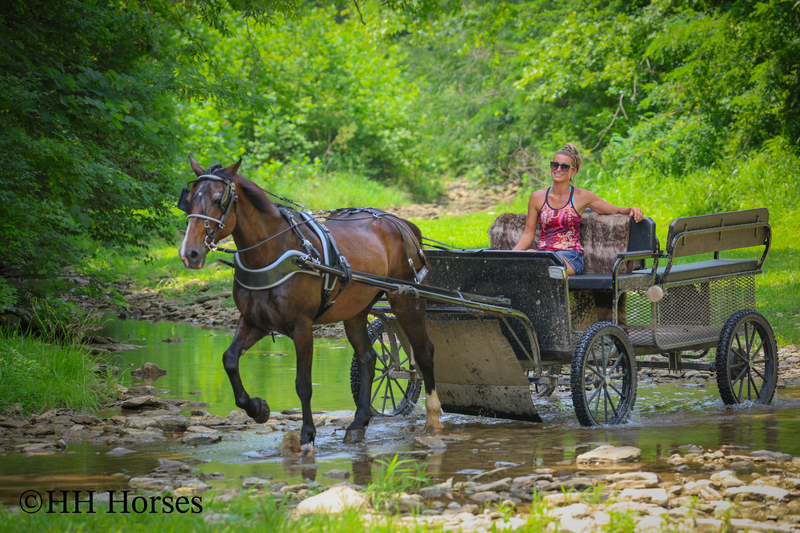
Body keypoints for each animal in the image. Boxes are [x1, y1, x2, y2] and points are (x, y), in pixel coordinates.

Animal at [177, 157, 442, 454]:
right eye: (189, 199)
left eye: (217, 200)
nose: (190, 253)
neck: (274, 251)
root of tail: (402, 224)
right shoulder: (254, 322)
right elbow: (230, 360)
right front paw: (258, 408)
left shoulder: (301, 327)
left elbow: (303, 384)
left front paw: (307, 436)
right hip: (355, 311)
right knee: (368, 359)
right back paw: (358, 423)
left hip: (406, 299)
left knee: (424, 352)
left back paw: (433, 418)